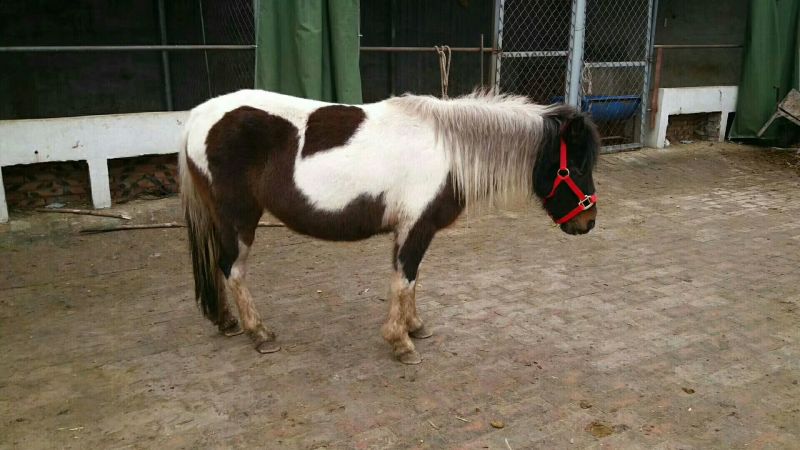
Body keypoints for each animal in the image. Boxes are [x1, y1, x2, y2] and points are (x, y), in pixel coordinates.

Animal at [179, 89, 599, 365]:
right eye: (575, 166)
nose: (588, 222)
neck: (449, 149)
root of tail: (199, 116)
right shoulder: (416, 226)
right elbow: (404, 278)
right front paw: (400, 342)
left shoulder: (411, 228)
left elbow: (409, 280)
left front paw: (414, 326)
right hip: (239, 217)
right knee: (233, 270)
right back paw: (259, 333)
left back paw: (227, 322)